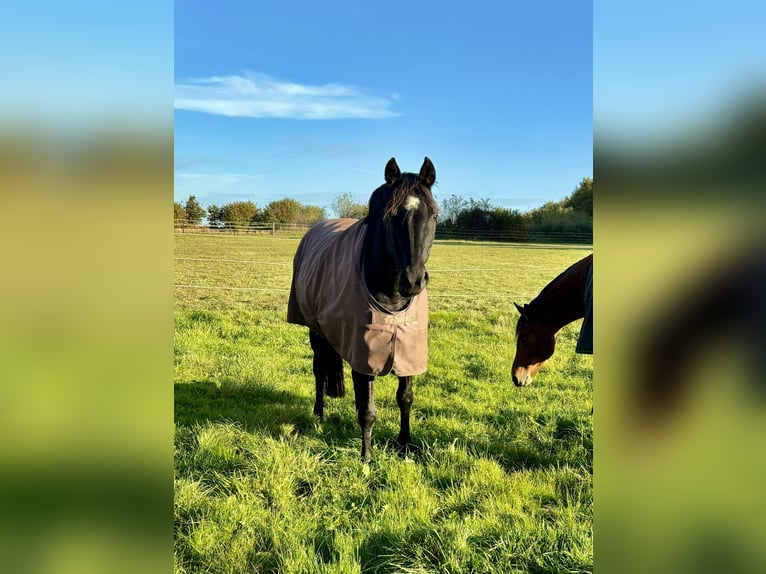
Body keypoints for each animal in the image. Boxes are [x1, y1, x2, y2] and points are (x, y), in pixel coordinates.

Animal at [286, 156, 438, 460]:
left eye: (434, 216)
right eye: (391, 217)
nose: (414, 281)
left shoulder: (407, 349)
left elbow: (405, 399)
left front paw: (405, 445)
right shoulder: (363, 353)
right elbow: (367, 411)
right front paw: (366, 457)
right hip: (315, 331)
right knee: (318, 369)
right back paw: (318, 415)